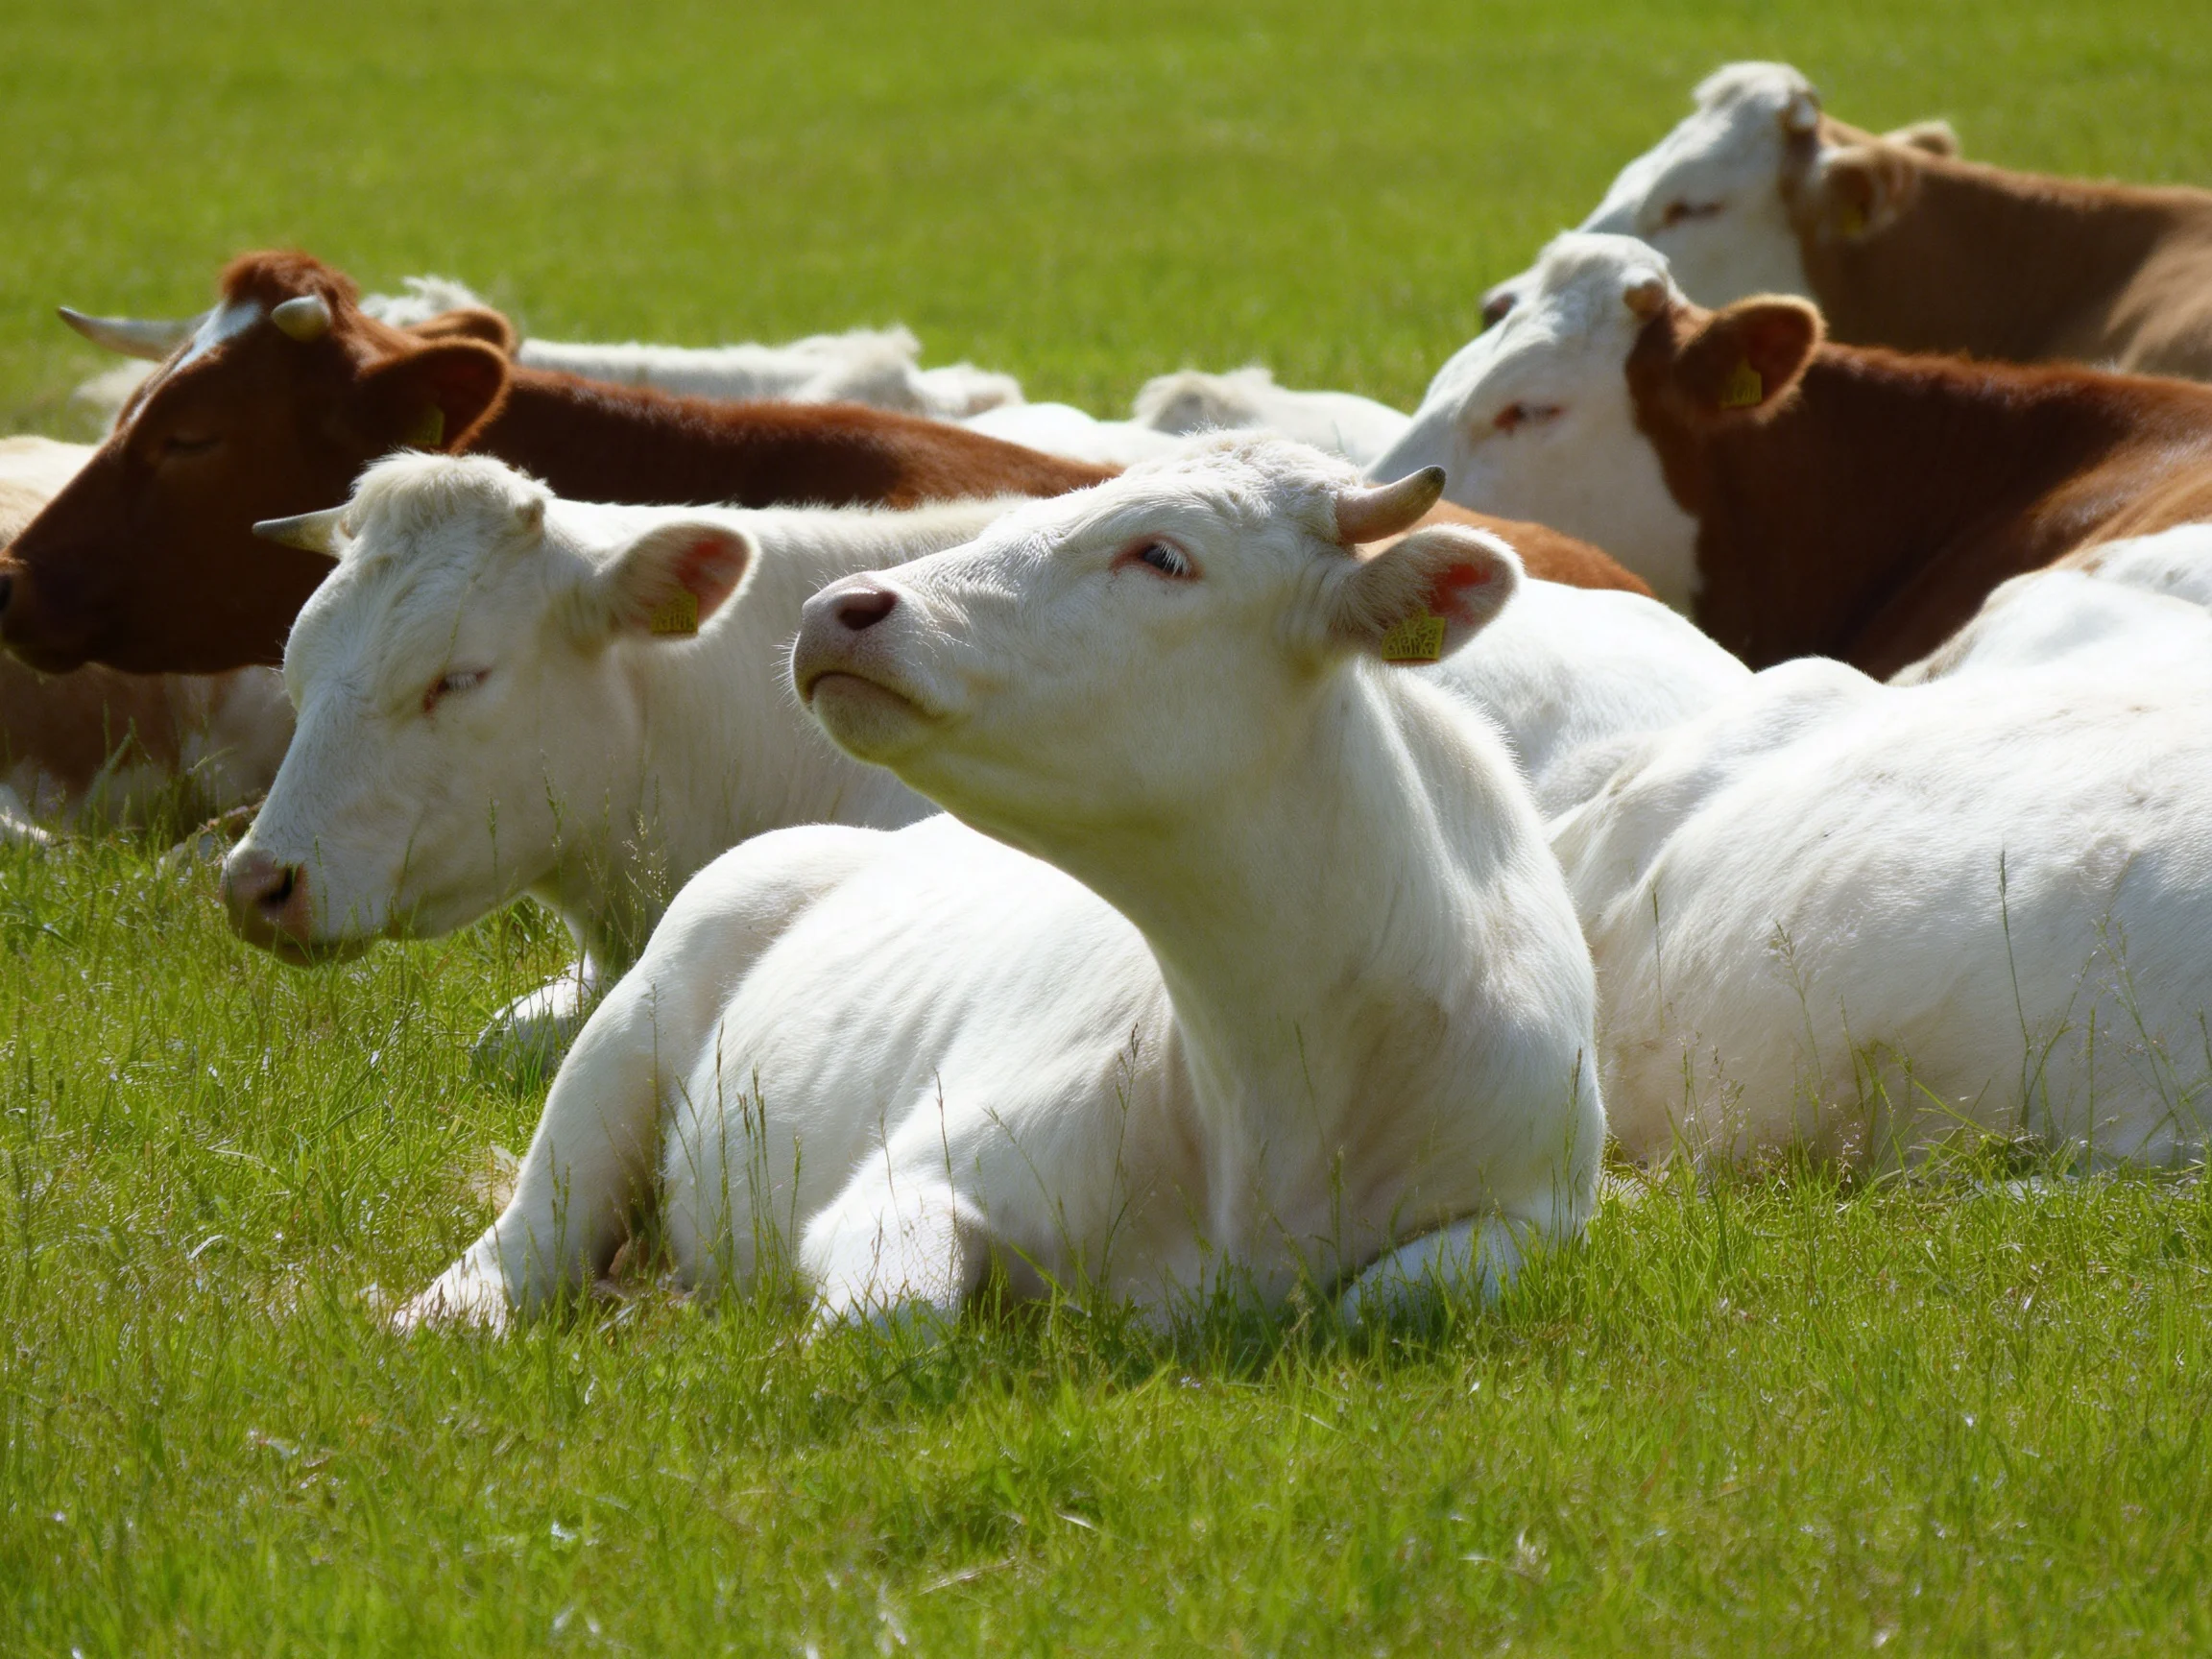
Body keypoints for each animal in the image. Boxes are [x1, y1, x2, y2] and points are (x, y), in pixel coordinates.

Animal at [393, 435, 1603, 1334]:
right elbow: (888, 1314)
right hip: (626, 1033)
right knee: (531, 1234)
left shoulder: (1533, 1214)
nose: (837, 607)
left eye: (1163, 555)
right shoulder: (912, 1174)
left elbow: (1393, 1297)